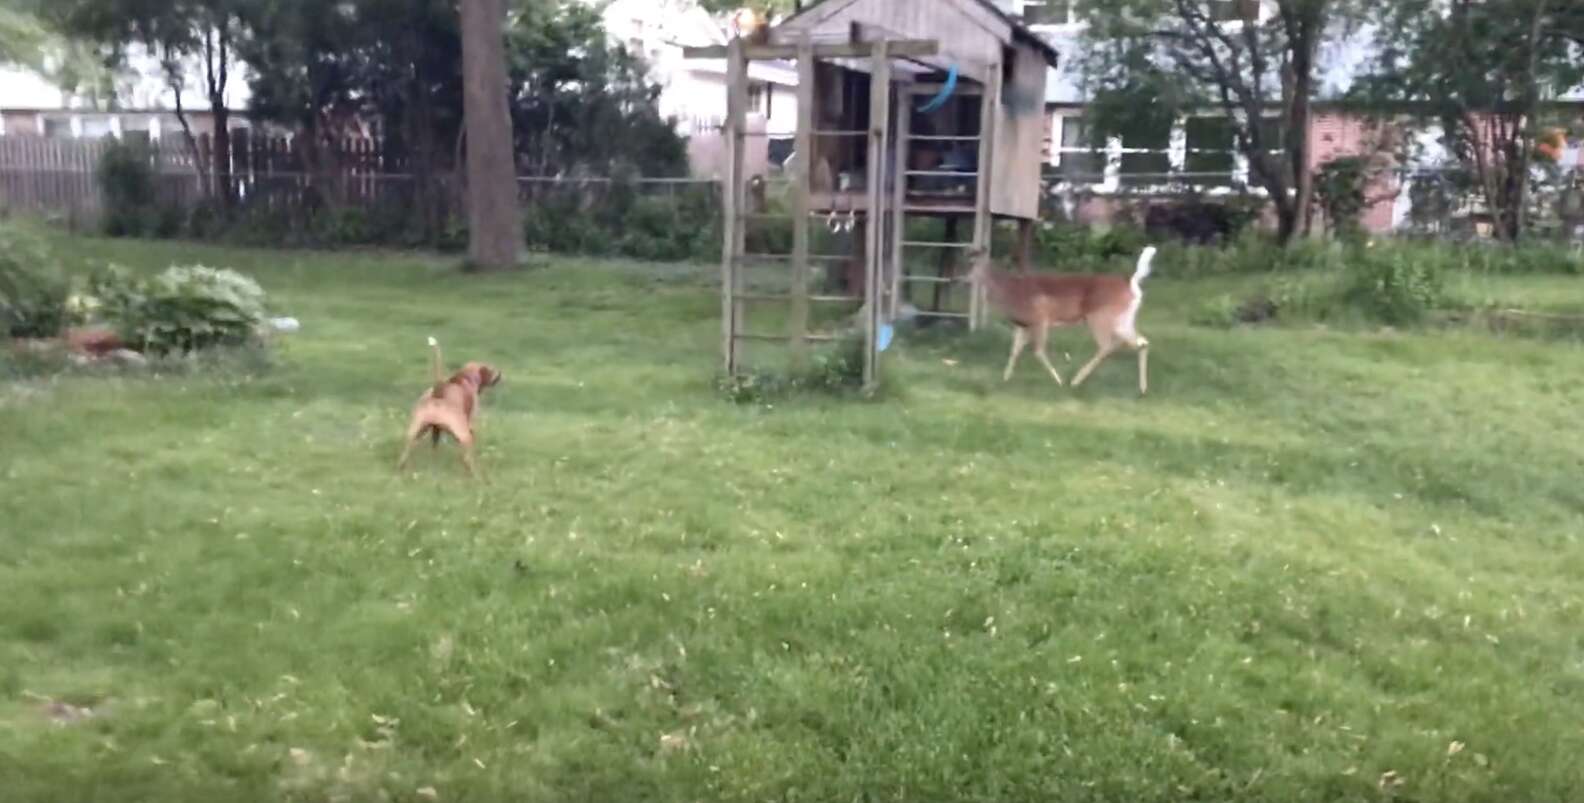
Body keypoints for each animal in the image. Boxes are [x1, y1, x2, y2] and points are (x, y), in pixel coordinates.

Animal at [396, 337, 500, 481]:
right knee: (467, 459)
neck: (464, 377)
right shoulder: (470, 425)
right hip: (463, 435)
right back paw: (475, 475)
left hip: (415, 430)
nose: (500, 373)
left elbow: (434, 446)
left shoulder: (436, 429)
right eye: (491, 369)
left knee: (405, 453)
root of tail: (438, 392)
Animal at [956, 245, 1159, 395]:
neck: (1011, 292)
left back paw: (1075, 381)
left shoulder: (1040, 319)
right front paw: (1005, 379)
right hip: (1123, 320)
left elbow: (1038, 352)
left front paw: (1058, 381)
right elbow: (1014, 351)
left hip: (1100, 317)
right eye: (965, 261)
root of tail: (1132, 285)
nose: (960, 279)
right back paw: (1143, 389)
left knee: (1108, 346)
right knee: (1142, 342)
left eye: (972, 263)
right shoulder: (1023, 325)